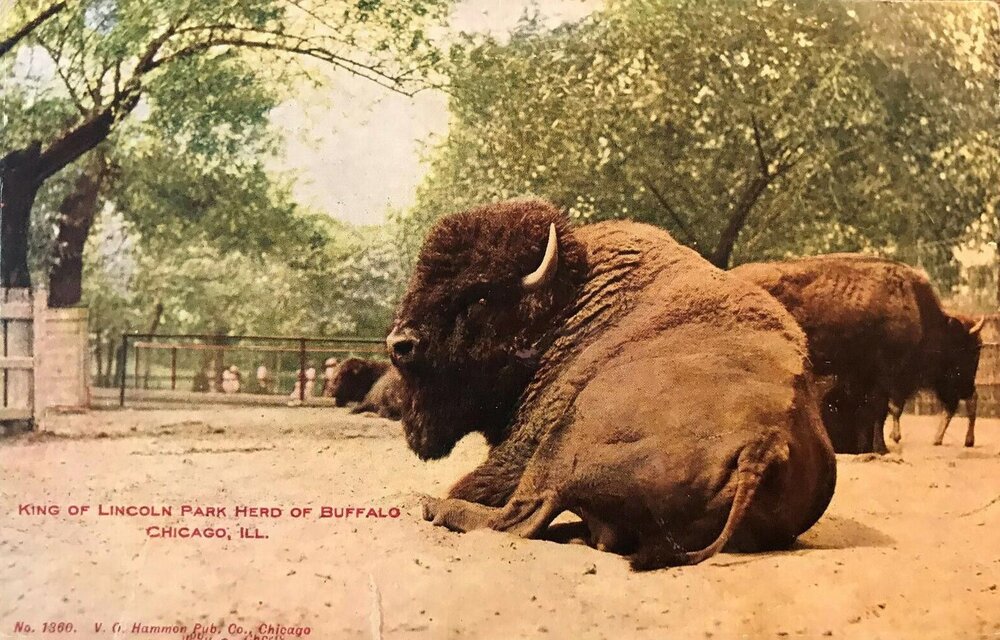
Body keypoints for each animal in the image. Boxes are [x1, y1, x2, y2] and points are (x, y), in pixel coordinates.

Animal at [388, 200, 836, 568]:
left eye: (479, 298)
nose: (399, 344)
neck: (567, 307)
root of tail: (764, 445)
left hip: (566, 437)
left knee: (522, 513)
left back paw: (435, 508)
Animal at [736, 252, 984, 452]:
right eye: (968, 350)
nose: (968, 389)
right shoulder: (887, 374)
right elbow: (882, 409)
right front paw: (882, 446)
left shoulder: (862, 376)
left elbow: (870, 410)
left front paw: (869, 447)